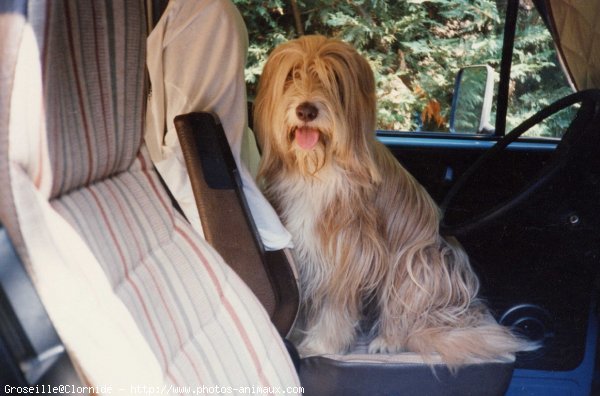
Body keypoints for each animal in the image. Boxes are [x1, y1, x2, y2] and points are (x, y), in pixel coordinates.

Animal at [251, 34, 532, 366]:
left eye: (333, 79)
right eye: (292, 75)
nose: (307, 111)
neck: (318, 167)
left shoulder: (348, 249)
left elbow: (335, 303)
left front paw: (321, 344)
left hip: (418, 259)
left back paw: (389, 340)